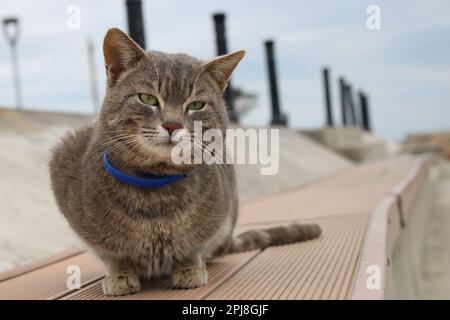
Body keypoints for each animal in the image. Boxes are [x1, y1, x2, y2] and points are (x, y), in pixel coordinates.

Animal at [49, 28, 322, 296]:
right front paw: (120, 274)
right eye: (147, 99)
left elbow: (193, 246)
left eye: (196, 105)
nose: (172, 125)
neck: (155, 189)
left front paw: (189, 267)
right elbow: (112, 253)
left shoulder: (216, 213)